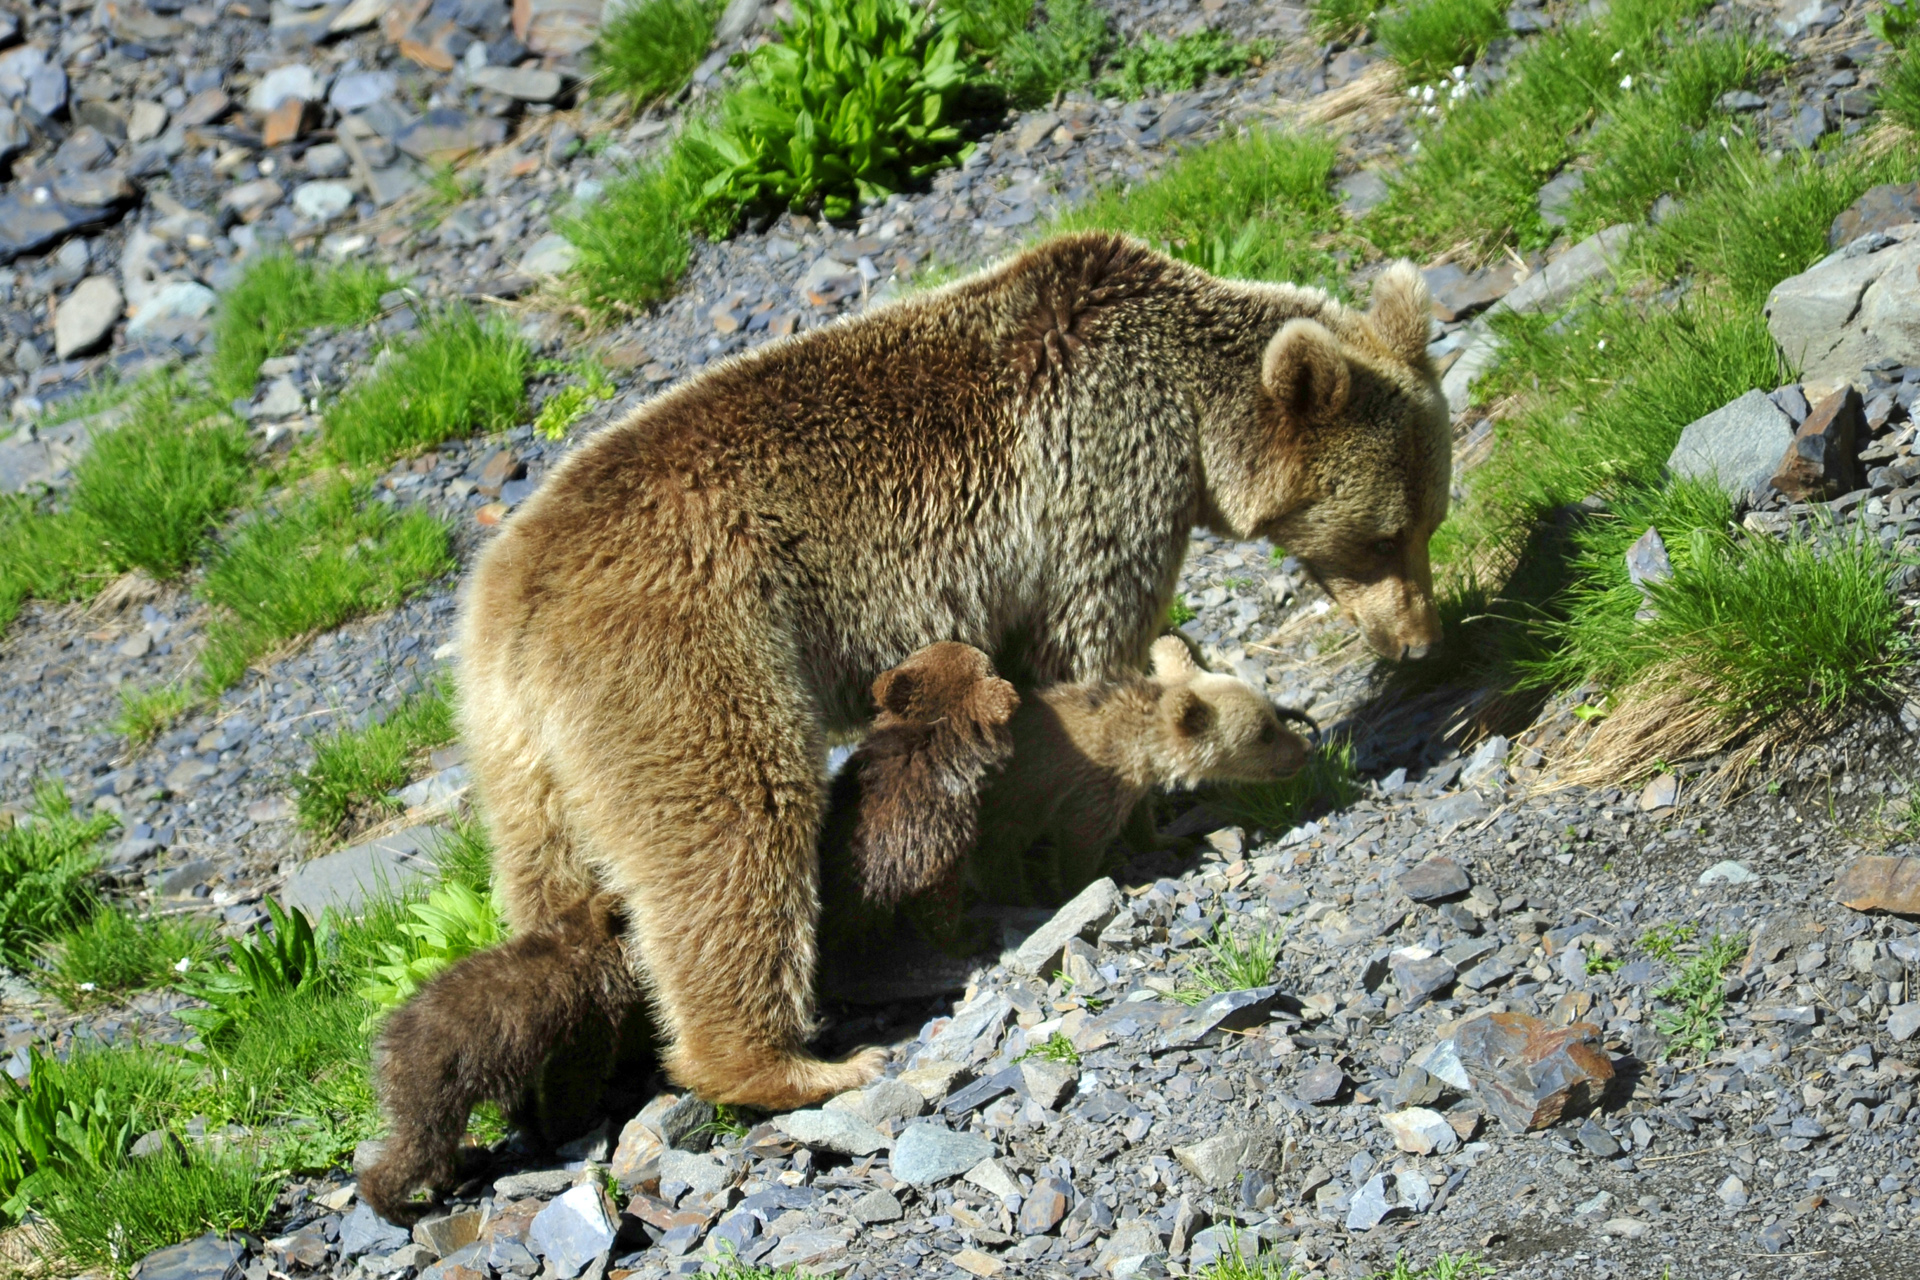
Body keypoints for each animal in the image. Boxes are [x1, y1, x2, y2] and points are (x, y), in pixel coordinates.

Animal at [456, 233, 1443, 1113]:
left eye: (1431, 517)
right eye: (1385, 533)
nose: (1420, 643)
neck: (1191, 416)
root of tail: (516, 597)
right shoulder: (1099, 483)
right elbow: (1086, 650)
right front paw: (1149, 821)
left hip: (522, 760)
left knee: (555, 880)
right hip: (691, 652)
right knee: (733, 830)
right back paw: (788, 1065)